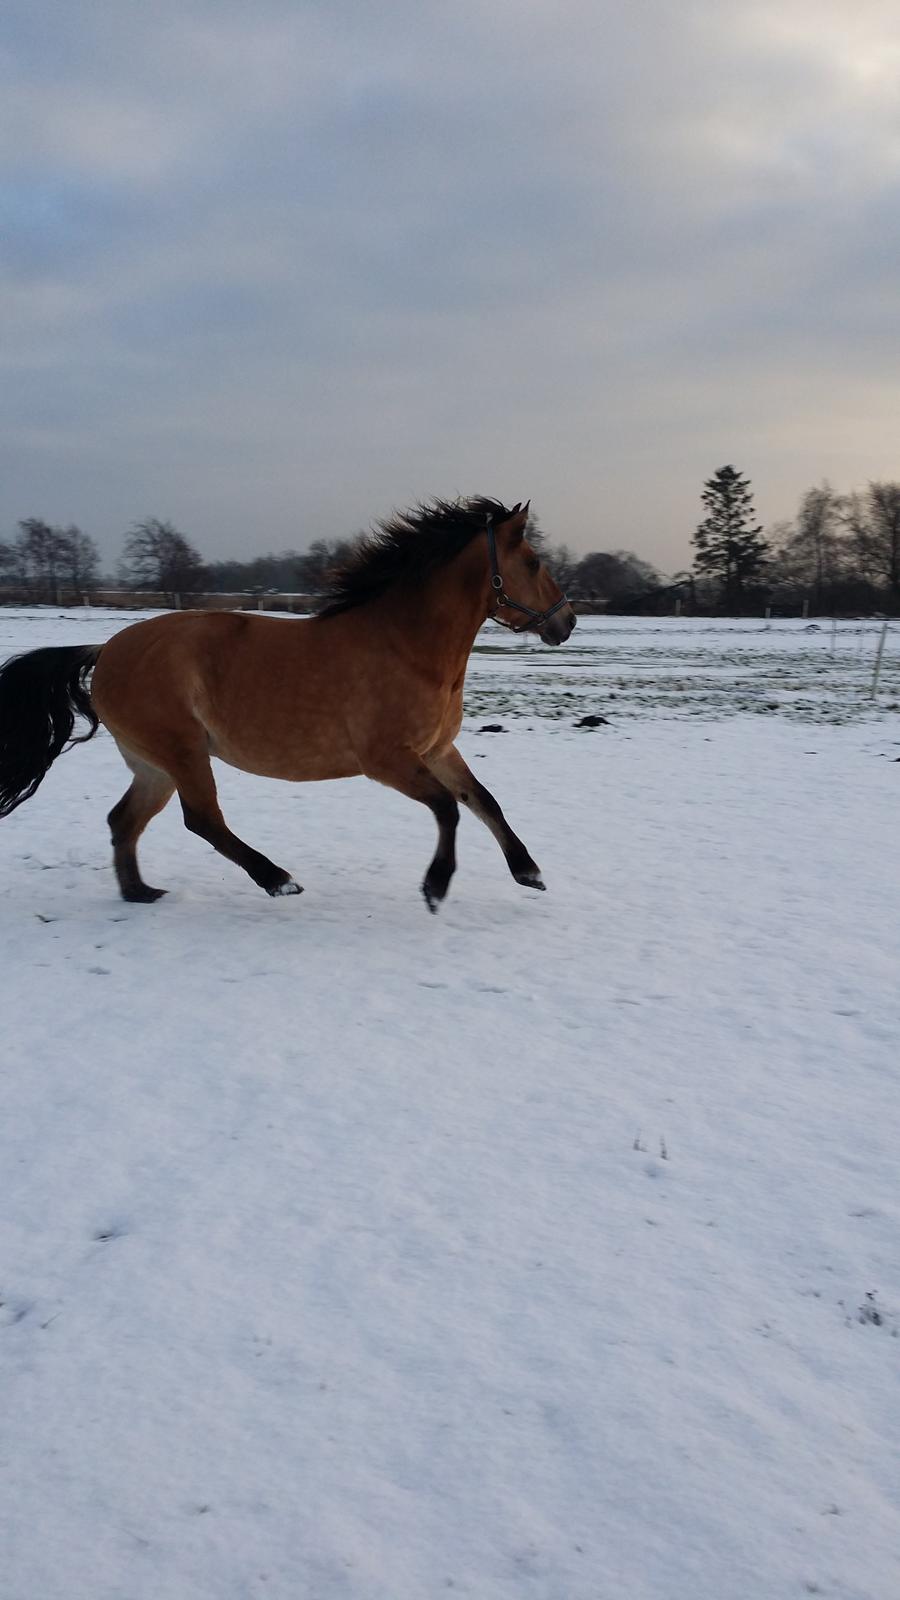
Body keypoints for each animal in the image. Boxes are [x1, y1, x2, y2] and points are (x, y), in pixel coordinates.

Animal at [0, 496, 573, 915]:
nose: (566, 623)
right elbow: (448, 808)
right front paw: (435, 886)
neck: (406, 645)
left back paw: (140, 893)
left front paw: (529, 871)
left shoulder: (437, 750)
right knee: (202, 819)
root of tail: (105, 650)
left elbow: (484, 801)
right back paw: (278, 880)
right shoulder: (387, 760)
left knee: (124, 821)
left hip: (153, 765)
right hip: (183, 753)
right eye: (533, 562)